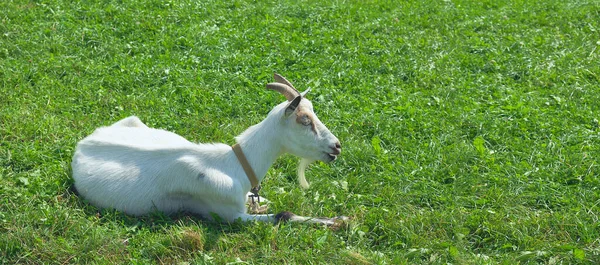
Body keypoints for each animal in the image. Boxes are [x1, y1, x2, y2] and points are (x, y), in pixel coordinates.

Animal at [72, 73, 344, 224]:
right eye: (305, 120)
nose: (337, 146)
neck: (234, 166)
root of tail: (84, 143)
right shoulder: (229, 216)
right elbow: (283, 215)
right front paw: (340, 221)